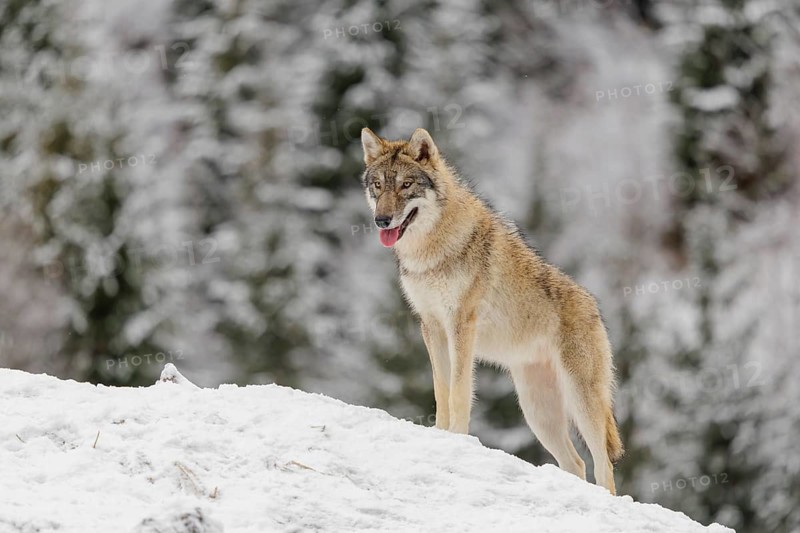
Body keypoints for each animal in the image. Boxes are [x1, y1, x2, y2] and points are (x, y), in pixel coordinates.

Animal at [360, 127, 623, 494]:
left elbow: (458, 392)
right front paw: (440, 434)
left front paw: (457, 438)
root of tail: (595, 308)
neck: (432, 252)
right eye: (378, 186)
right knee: (577, 463)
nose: (381, 220)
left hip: (581, 402)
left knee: (603, 466)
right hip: (537, 411)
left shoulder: (461, 325)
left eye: (406, 184)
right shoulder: (431, 326)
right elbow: (441, 391)